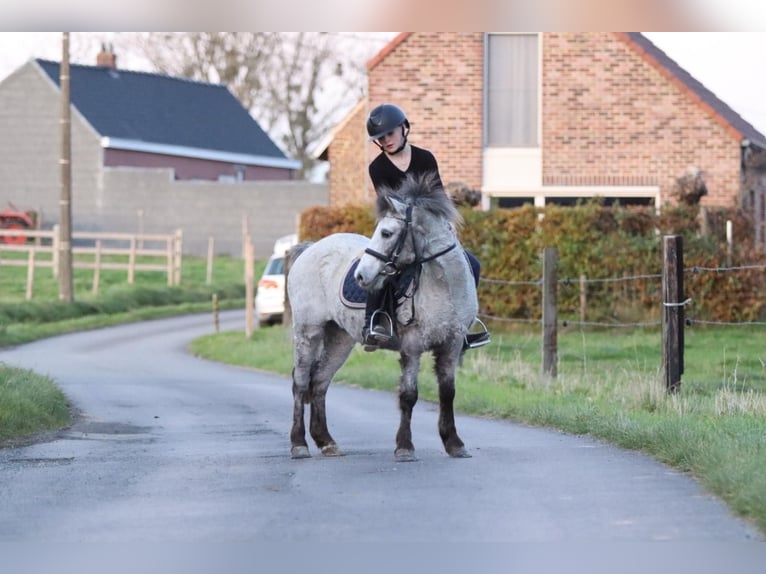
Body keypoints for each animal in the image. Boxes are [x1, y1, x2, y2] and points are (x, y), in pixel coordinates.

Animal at [286, 173, 477, 462]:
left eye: (387, 233)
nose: (361, 276)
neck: (445, 285)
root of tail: (310, 248)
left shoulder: (451, 345)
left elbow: (448, 393)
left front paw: (454, 443)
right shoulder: (412, 345)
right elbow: (409, 395)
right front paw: (404, 447)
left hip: (339, 338)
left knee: (319, 382)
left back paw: (327, 442)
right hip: (308, 331)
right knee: (299, 383)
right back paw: (299, 445)